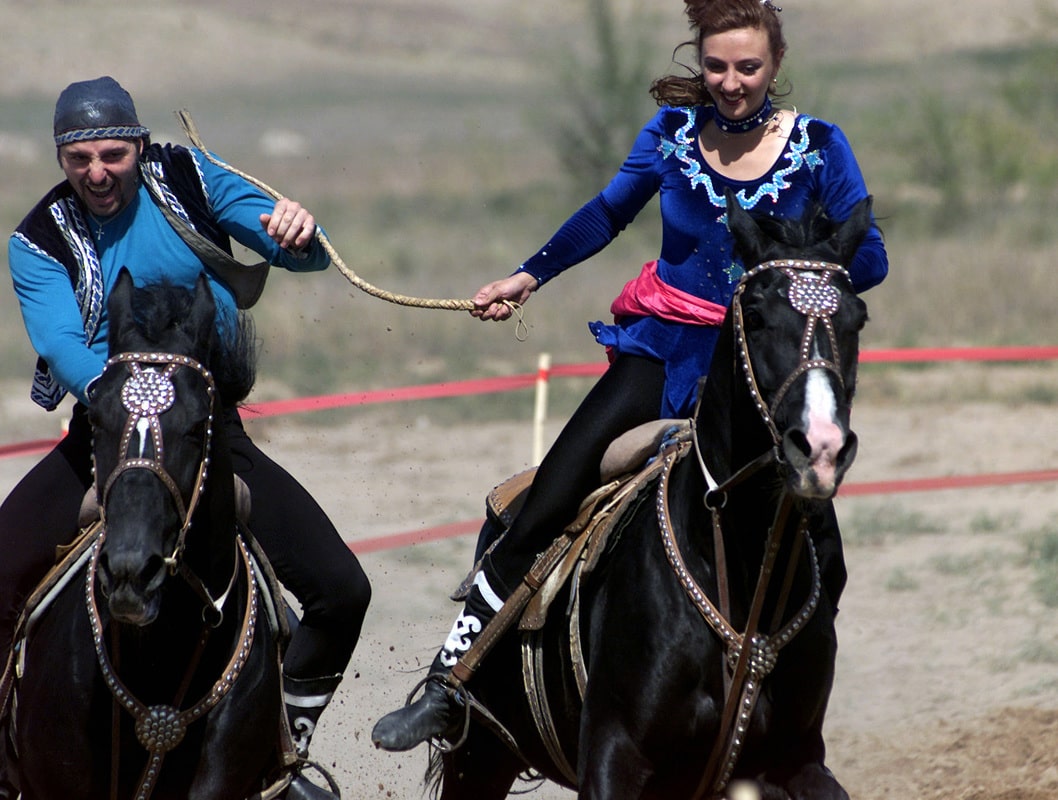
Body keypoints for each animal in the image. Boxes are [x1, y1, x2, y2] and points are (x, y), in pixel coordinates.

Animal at [425, 195, 871, 800]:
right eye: (755, 317)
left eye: (857, 319)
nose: (821, 446)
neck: (736, 561)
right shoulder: (614, 756)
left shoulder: (795, 760)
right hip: (481, 755)